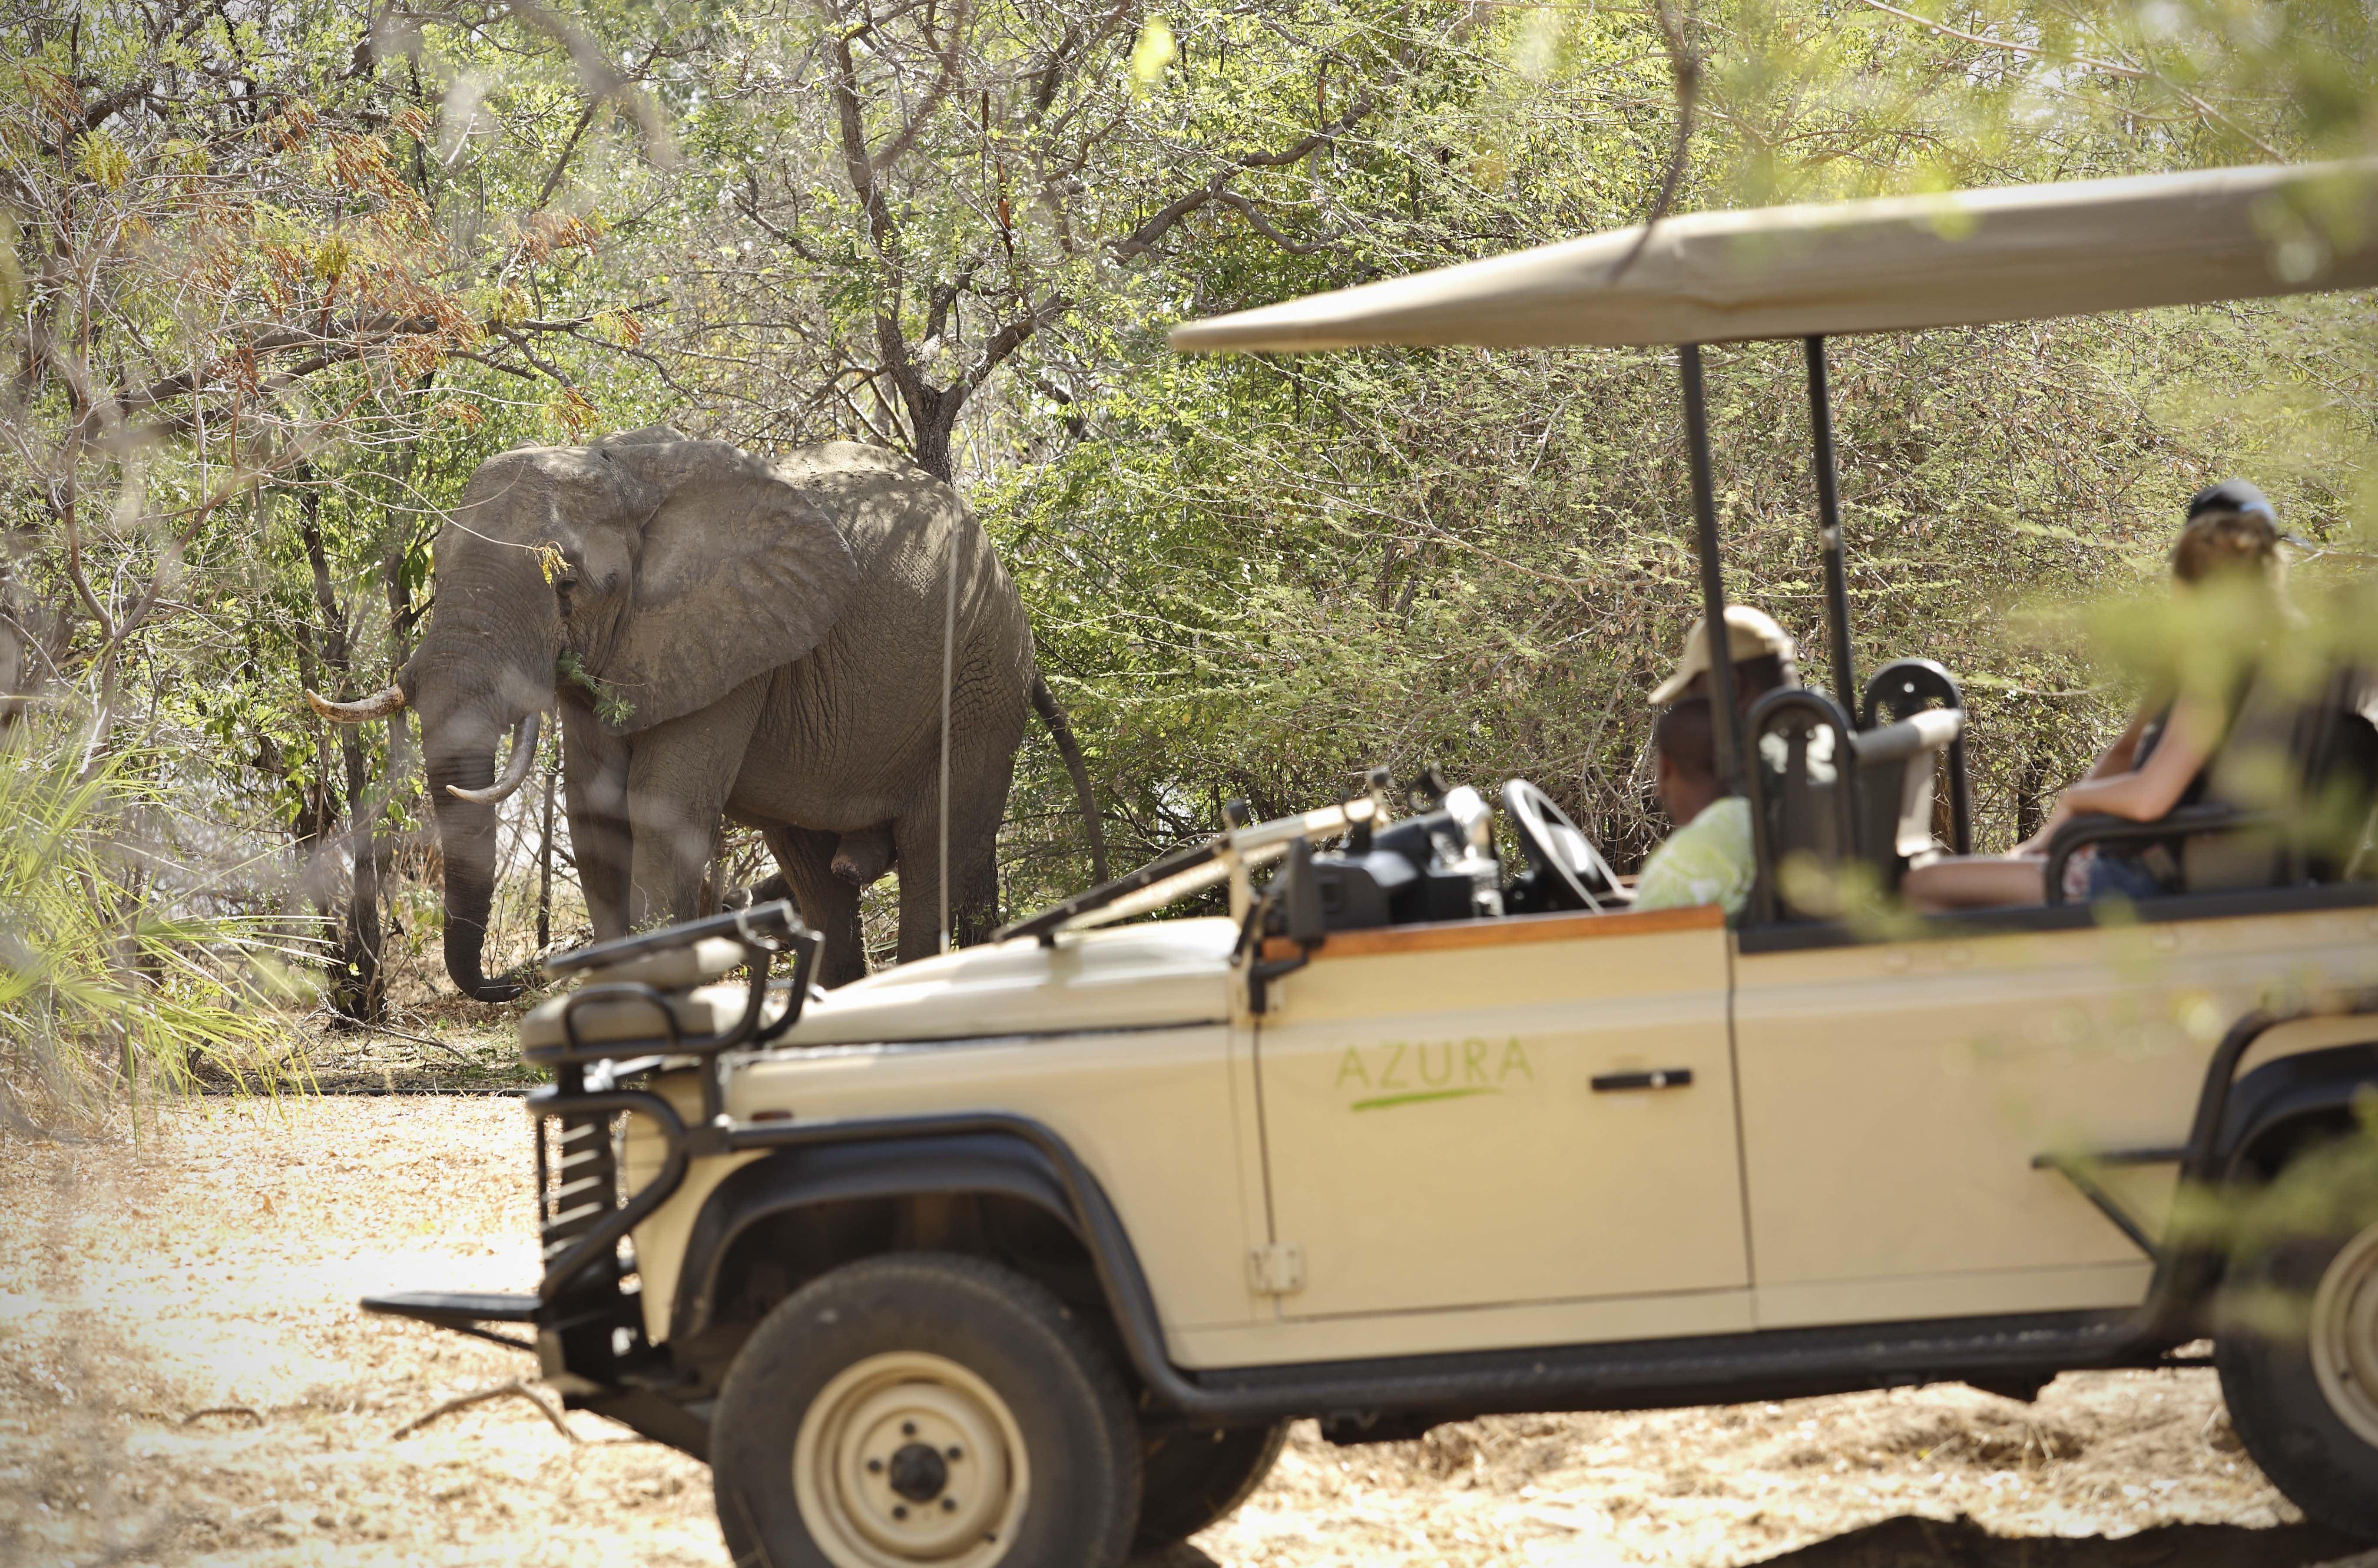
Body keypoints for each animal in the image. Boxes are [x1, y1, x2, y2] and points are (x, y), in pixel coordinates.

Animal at [308, 427, 1106, 997]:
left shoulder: (732, 641)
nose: (506, 985)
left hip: (980, 686)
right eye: (435, 569)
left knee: (930, 851)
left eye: (567, 585)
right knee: (815, 871)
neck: (623, 470)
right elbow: (595, 814)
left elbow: (660, 807)